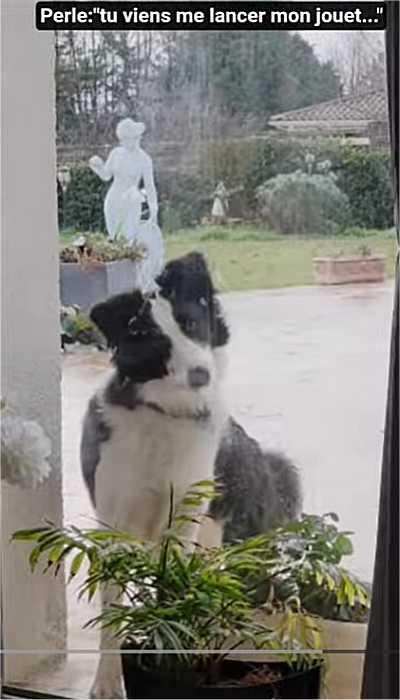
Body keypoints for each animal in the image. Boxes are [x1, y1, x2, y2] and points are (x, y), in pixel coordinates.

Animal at [81, 251, 301, 698]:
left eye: (192, 325)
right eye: (155, 342)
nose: (201, 374)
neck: (168, 414)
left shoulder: (184, 515)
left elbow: (175, 586)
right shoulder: (115, 521)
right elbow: (113, 606)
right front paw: (108, 681)